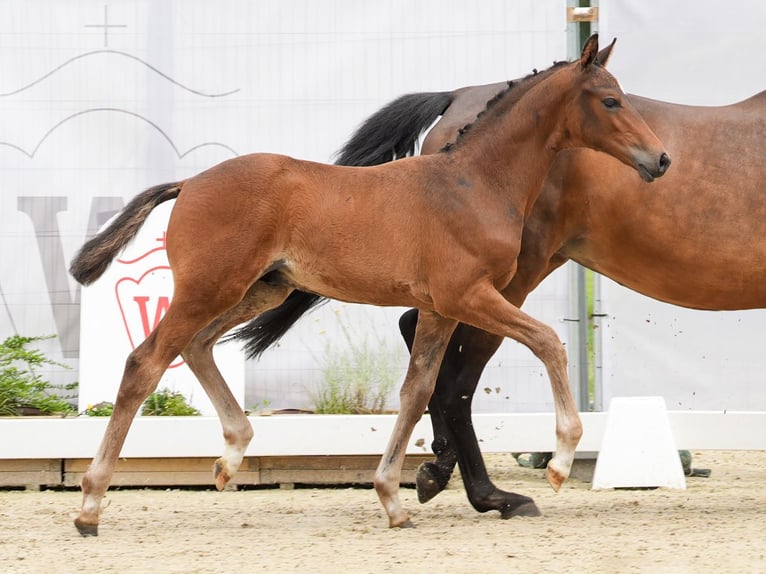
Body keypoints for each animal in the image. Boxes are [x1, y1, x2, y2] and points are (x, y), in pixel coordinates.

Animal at [72, 37, 672, 540]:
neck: (473, 184)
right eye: (611, 100)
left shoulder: (438, 309)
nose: (661, 159)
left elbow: (415, 391)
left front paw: (392, 498)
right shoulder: (465, 296)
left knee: (196, 346)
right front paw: (560, 463)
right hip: (209, 288)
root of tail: (189, 182)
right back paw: (90, 506)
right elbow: (548, 340)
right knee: (146, 362)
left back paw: (230, 457)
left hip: (261, 290)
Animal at [236, 45, 766, 520]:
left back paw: (446, 474)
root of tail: (457, 96)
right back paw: (487, 492)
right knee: (455, 381)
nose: (661, 160)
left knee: (427, 352)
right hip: (510, 280)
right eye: (610, 101)